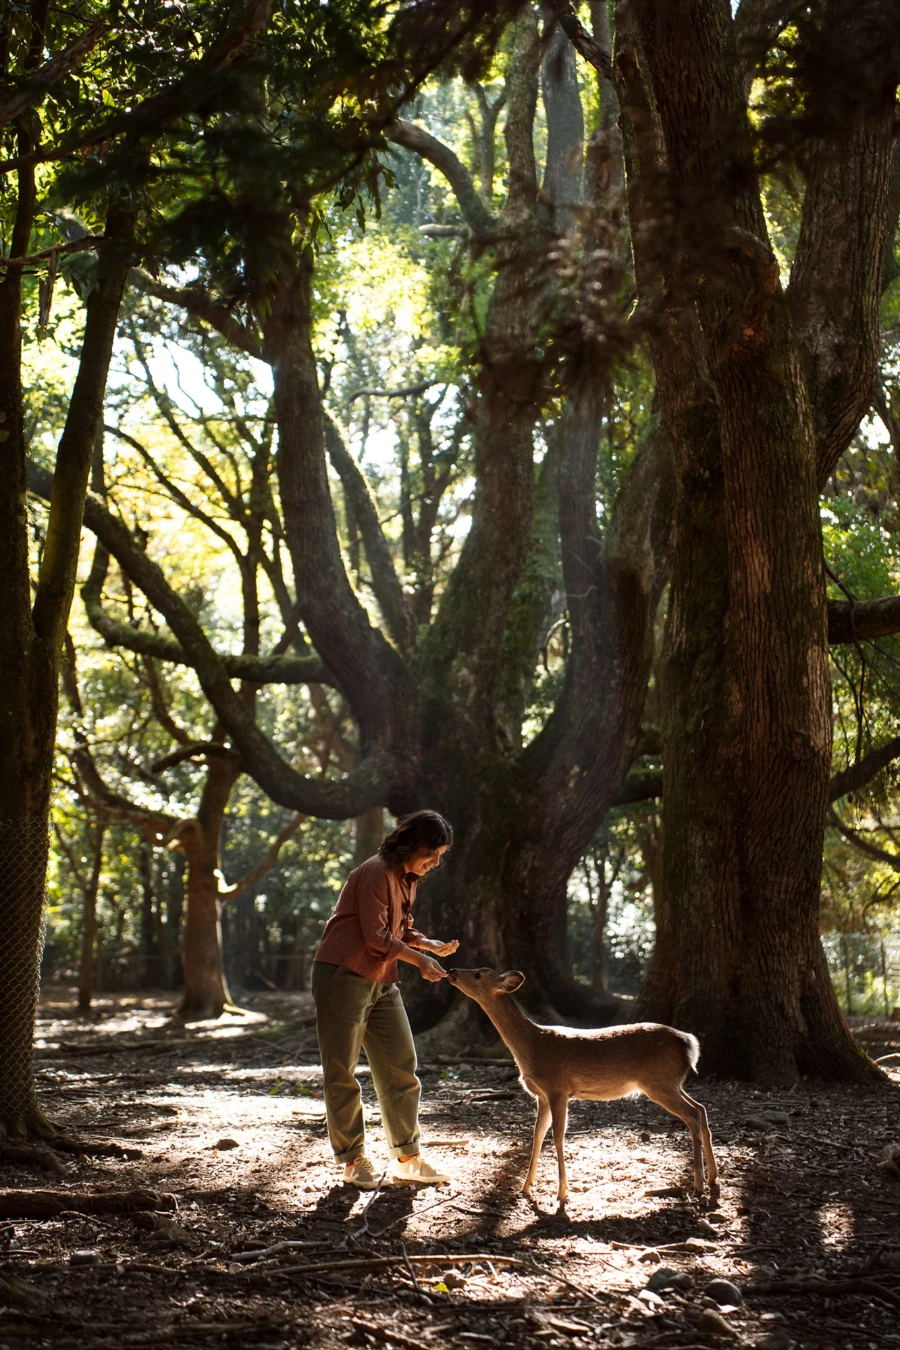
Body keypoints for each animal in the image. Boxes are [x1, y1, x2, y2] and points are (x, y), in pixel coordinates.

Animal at [446, 967, 718, 1204]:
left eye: (478, 974)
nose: (451, 970)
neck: (532, 1046)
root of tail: (690, 1042)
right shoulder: (542, 1095)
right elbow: (537, 1134)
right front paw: (526, 1187)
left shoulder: (557, 1088)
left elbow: (557, 1135)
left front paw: (562, 1192)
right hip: (670, 1083)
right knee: (701, 1109)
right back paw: (713, 1178)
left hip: (659, 1083)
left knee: (693, 1116)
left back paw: (699, 1183)